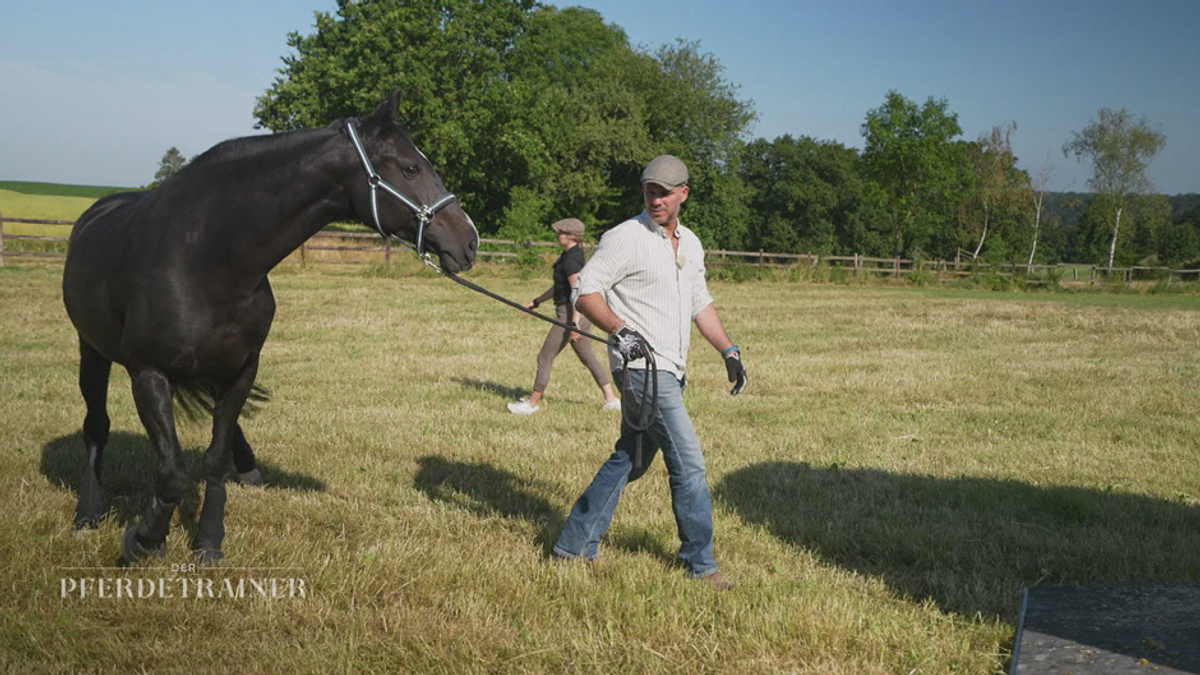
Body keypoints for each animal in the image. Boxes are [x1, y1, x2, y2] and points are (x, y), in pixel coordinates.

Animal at [59, 89, 472, 562]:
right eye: (410, 168)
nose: (469, 240)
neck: (206, 256)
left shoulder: (241, 370)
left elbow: (214, 460)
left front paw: (208, 541)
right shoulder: (148, 374)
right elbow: (173, 472)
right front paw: (144, 540)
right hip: (92, 350)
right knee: (96, 426)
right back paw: (87, 513)